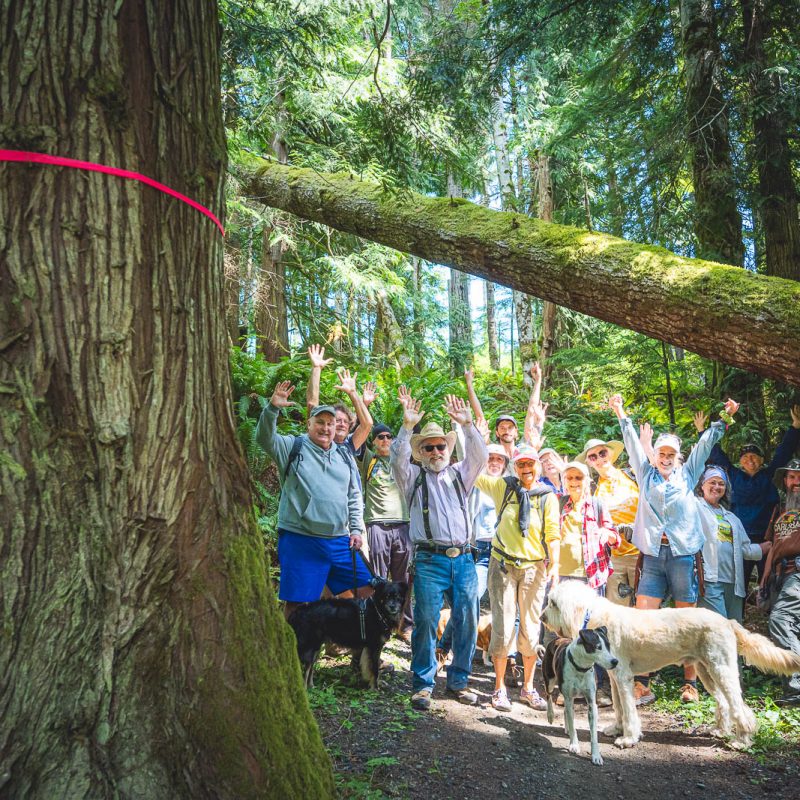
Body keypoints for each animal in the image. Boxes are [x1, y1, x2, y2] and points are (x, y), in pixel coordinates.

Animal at [540, 628, 620, 764]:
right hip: (550, 680)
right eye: (598, 647)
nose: (615, 661)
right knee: (548, 695)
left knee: (566, 710)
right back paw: (550, 715)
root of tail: (557, 639)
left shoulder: (591, 703)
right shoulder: (568, 697)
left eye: (608, 646)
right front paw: (574, 745)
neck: (581, 668)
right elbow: (573, 726)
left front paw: (596, 756)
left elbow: (593, 734)